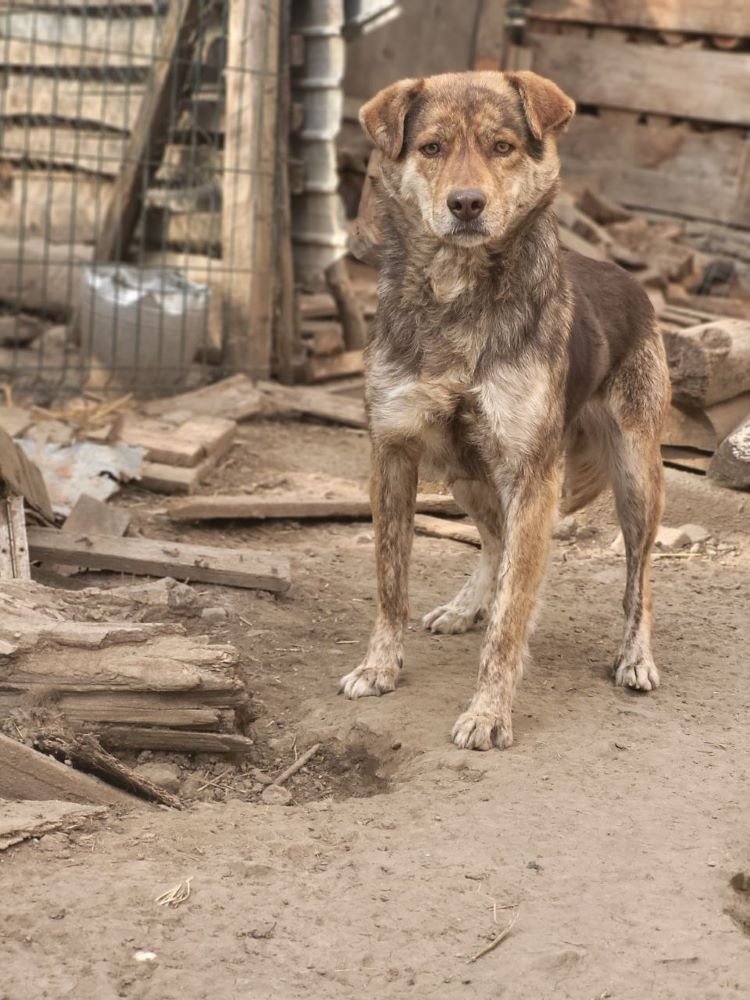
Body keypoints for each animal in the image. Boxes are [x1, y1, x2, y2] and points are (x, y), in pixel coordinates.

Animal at [338, 70, 672, 752]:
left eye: (502, 147)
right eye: (432, 148)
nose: (466, 204)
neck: (458, 295)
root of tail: (634, 283)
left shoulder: (532, 475)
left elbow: (514, 614)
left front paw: (489, 712)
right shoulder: (394, 452)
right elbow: (390, 581)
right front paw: (380, 666)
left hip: (634, 476)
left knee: (639, 575)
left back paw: (636, 656)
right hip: (463, 471)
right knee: (492, 540)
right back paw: (467, 604)